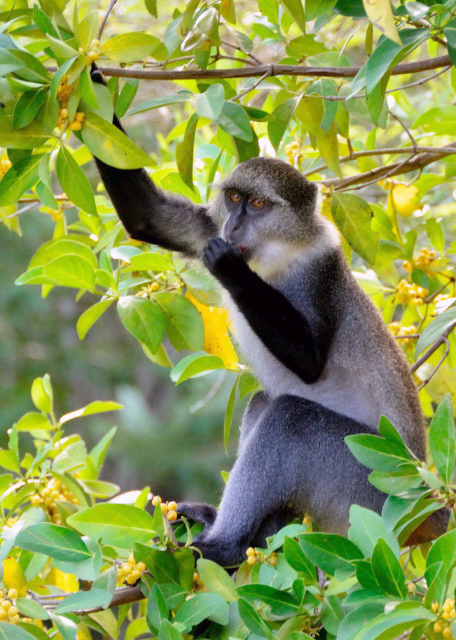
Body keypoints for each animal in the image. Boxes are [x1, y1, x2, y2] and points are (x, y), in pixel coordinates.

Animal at [90, 69, 447, 566]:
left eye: (259, 205)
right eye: (235, 198)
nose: (235, 227)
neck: (273, 254)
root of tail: (428, 506)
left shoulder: (320, 268)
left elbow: (311, 362)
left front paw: (230, 268)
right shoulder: (209, 226)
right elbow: (149, 218)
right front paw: (91, 80)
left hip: (366, 483)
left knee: (290, 416)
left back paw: (223, 545)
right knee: (264, 402)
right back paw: (248, 531)